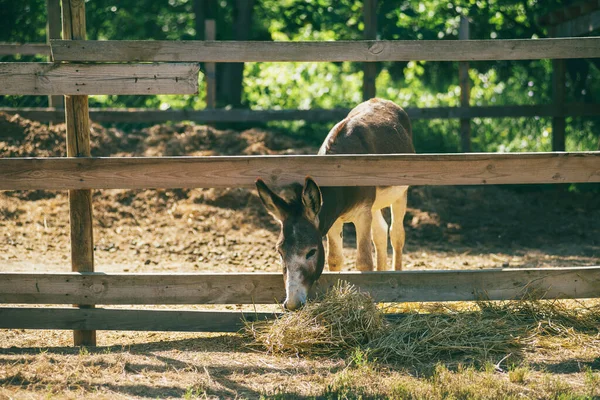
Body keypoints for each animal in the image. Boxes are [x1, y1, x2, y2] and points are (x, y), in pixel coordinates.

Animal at [255, 98, 414, 310]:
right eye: (280, 252)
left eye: (311, 252)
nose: (293, 304)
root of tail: (381, 100)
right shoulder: (333, 219)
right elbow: (335, 260)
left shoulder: (362, 214)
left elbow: (364, 262)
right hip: (375, 205)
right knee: (381, 231)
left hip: (399, 194)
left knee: (396, 234)